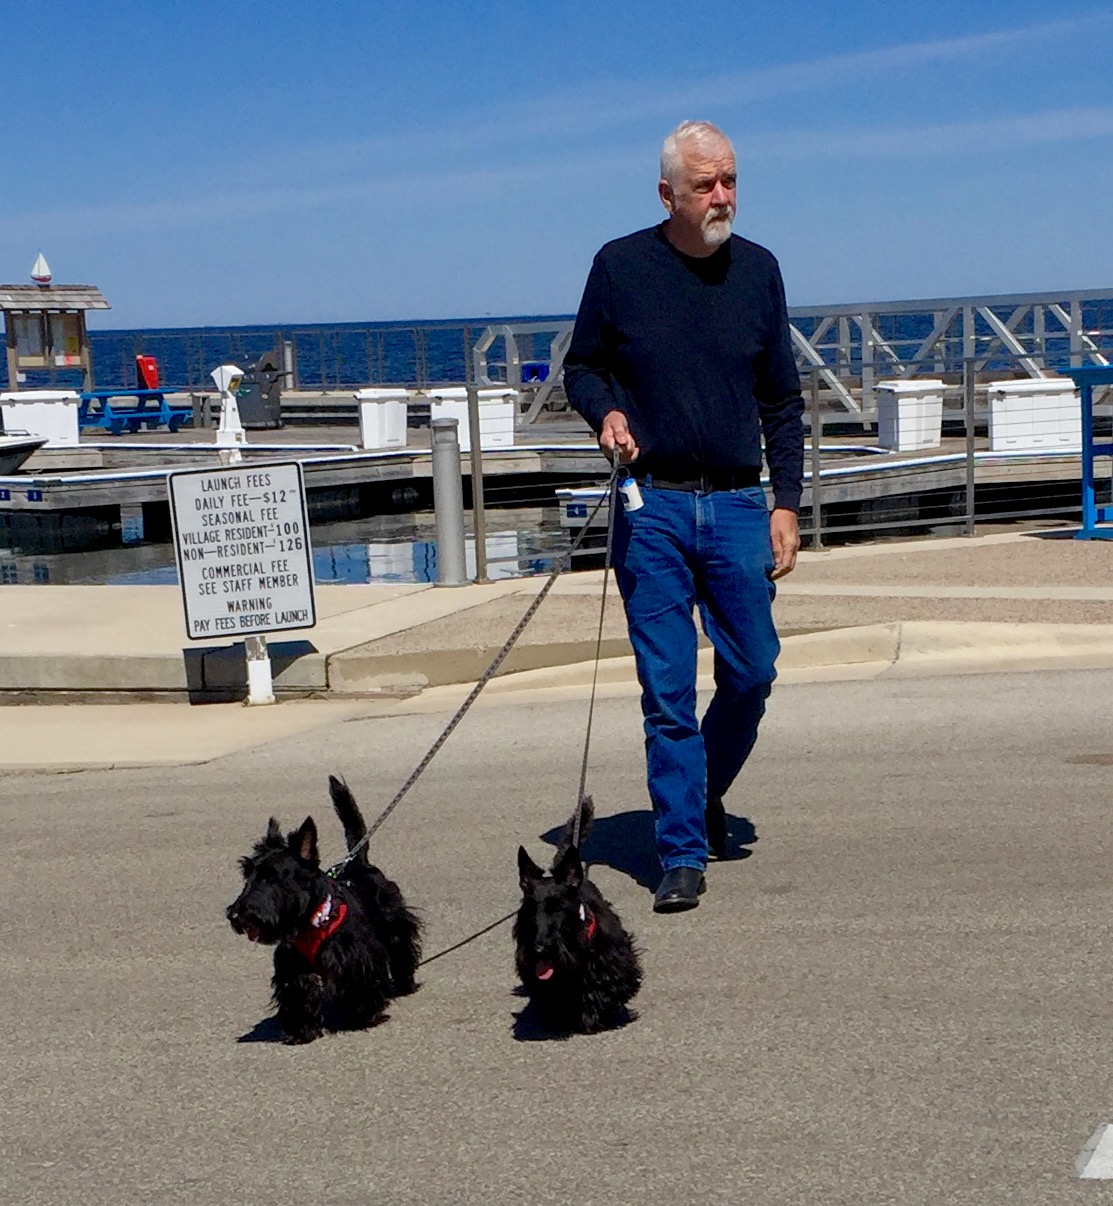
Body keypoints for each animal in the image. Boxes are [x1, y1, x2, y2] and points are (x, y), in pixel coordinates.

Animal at [226, 775, 422, 1044]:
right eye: (247, 875)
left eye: (272, 877)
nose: (234, 915)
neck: (312, 920)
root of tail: (359, 863)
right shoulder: (293, 968)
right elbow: (299, 993)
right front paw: (301, 1030)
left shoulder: (356, 957)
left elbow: (360, 983)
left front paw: (362, 1016)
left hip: (395, 924)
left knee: (402, 950)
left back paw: (405, 984)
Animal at [514, 797, 643, 1034]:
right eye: (529, 909)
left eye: (558, 907)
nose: (539, 950)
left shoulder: (613, 961)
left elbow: (605, 987)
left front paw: (595, 1015)